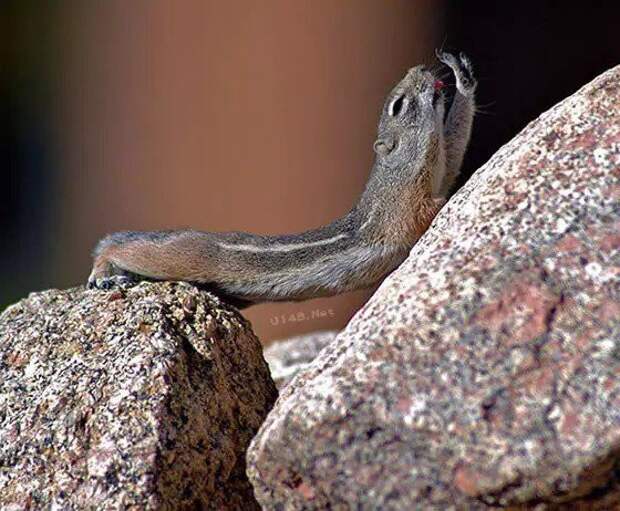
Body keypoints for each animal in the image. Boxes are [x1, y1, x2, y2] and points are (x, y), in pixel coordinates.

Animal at [86, 51, 474, 308]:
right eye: (398, 105)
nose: (421, 69)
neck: (403, 170)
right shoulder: (405, 208)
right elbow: (428, 212)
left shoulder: (443, 168)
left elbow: (455, 152)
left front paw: (464, 78)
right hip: (181, 259)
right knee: (126, 249)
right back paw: (104, 270)